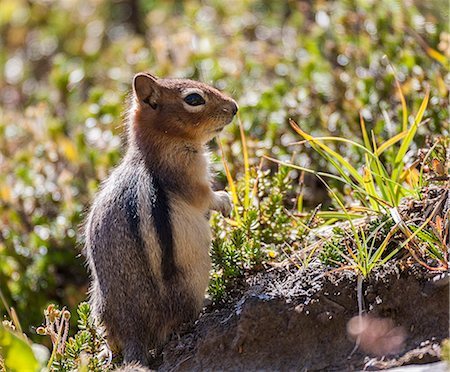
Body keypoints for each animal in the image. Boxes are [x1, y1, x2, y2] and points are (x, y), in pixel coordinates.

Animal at [85, 73, 239, 366]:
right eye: (194, 99)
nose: (234, 107)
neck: (155, 146)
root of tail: (133, 329)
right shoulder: (187, 173)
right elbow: (204, 198)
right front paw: (225, 200)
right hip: (195, 276)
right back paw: (207, 302)